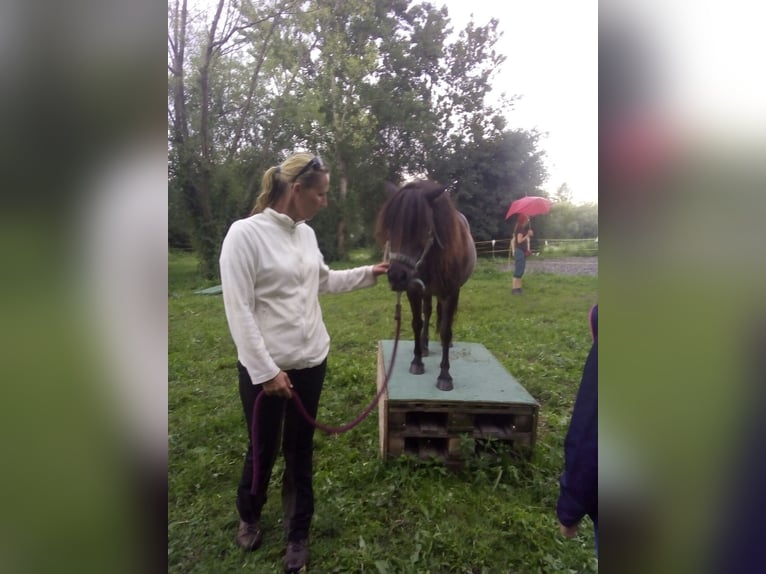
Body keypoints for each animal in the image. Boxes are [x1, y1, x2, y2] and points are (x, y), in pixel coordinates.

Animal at [376, 180, 477, 391]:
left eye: (423, 226)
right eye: (390, 225)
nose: (396, 277)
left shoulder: (451, 292)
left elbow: (446, 330)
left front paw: (445, 375)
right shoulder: (414, 289)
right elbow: (417, 322)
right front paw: (417, 361)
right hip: (427, 291)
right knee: (428, 311)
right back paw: (424, 345)